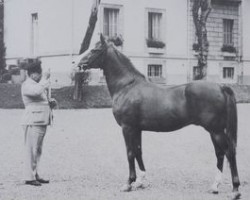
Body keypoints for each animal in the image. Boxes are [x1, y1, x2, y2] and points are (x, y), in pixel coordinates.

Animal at [77, 34, 240, 198]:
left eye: (95, 49)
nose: (76, 63)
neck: (127, 86)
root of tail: (220, 86)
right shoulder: (137, 129)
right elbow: (138, 151)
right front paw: (141, 181)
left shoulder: (127, 127)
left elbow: (130, 153)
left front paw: (129, 183)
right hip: (214, 131)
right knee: (220, 154)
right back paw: (215, 186)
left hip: (216, 131)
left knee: (229, 152)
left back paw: (235, 190)